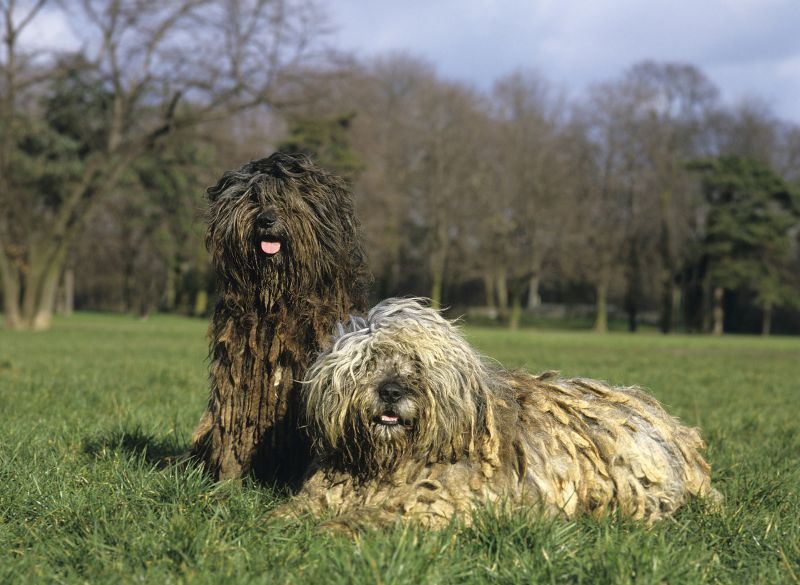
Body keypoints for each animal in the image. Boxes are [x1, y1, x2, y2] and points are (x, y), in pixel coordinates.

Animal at [191, 152, 372, 484]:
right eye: (252, 198)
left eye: (288, 200)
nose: (266, 220)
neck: (278, 302)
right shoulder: (240, 369)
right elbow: (236, 421)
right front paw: (227, 481)